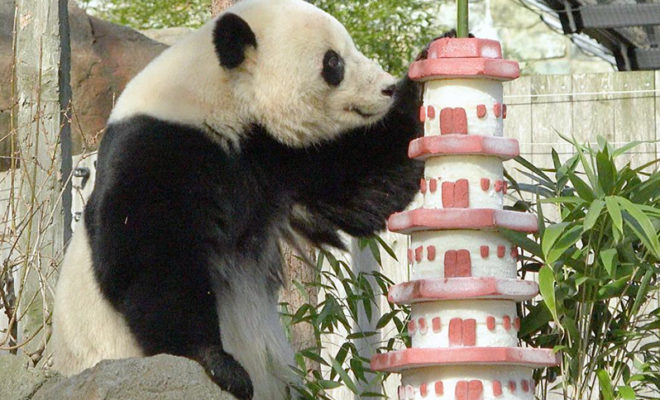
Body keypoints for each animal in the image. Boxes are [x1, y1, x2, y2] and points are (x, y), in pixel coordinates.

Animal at [51, 0, 424, 399]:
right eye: (333, 62)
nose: (386, 88)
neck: (219, 100)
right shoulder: (155, 151)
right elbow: (152, 260)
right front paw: (220, 364)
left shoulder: (278, 155)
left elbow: (366, 180)